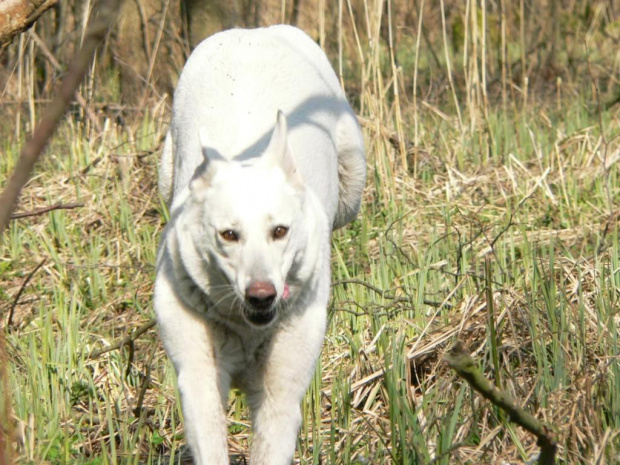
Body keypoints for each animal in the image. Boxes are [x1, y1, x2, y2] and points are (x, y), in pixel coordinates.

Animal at [154, 26, 366, 464]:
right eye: (228, 234)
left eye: (280, 231)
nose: (261, 295)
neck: (245, 326)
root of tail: (252, 31)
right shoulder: (198, 375)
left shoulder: (281, 388)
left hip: (352, 181)